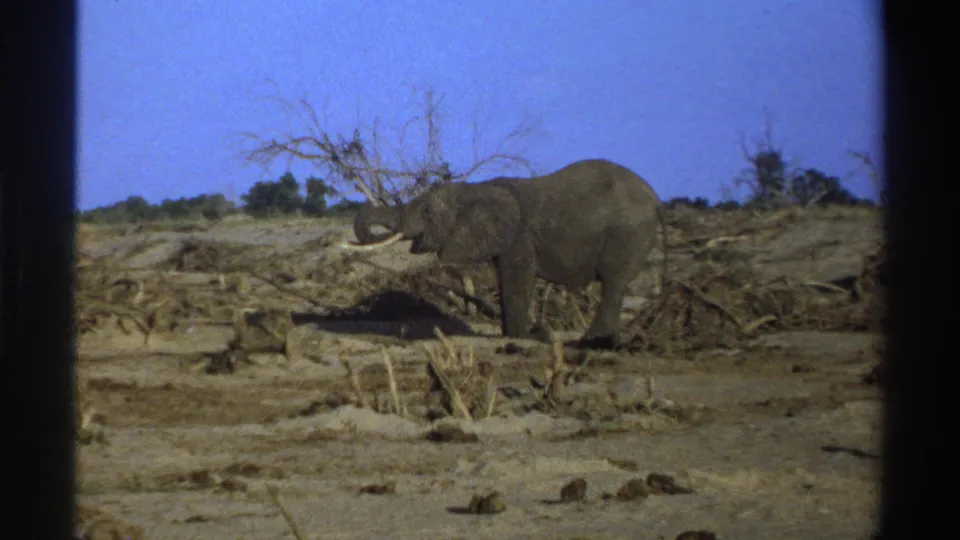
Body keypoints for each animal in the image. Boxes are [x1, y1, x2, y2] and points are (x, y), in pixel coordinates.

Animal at [342, 158, 667, 349]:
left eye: (427, 212)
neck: (477, 189)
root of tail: (656, 201)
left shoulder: (520, 236)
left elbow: (517, 277)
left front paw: (527, 337)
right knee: (616, 285)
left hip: (627, 234)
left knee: (613, 282)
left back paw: (591, 343)